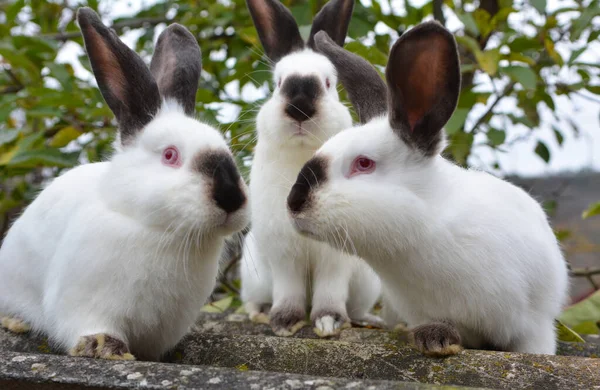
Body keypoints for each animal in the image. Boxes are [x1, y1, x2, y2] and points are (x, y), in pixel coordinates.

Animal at [0, 7, 248, 362]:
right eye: (170, 155)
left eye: (226, 148)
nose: (230, 198)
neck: (158, 231)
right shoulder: (84, 302)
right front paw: (106, 348)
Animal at [239, 0, 380, 336]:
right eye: (278, 84)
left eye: (329, 83)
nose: (300, 107)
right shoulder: (282, 253)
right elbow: (287, 289)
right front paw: (284, 323)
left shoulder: (336, 255)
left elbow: (330, 289)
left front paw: (328, 322)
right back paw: (257, 312)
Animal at [288, 22, 568, 354]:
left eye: (364, 164)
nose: (293, 202)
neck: (425, 230)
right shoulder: (428, 310)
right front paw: (435, 338)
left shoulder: (533, 328)